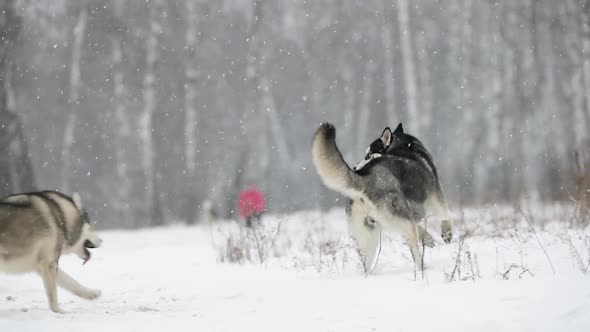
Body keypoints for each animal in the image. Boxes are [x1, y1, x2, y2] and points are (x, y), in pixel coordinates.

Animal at [314, 123, 454, 274]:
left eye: (368, 155)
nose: (355, 167)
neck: (404, 145)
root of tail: (364, 178)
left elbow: (422, 227)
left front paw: (427, 238)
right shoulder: (436, 198)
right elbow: (447, 215)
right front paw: (447, 234)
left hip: (369, 235)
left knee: (367, 265)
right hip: (401, 221)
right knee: (416, 254)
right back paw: (424, 269)